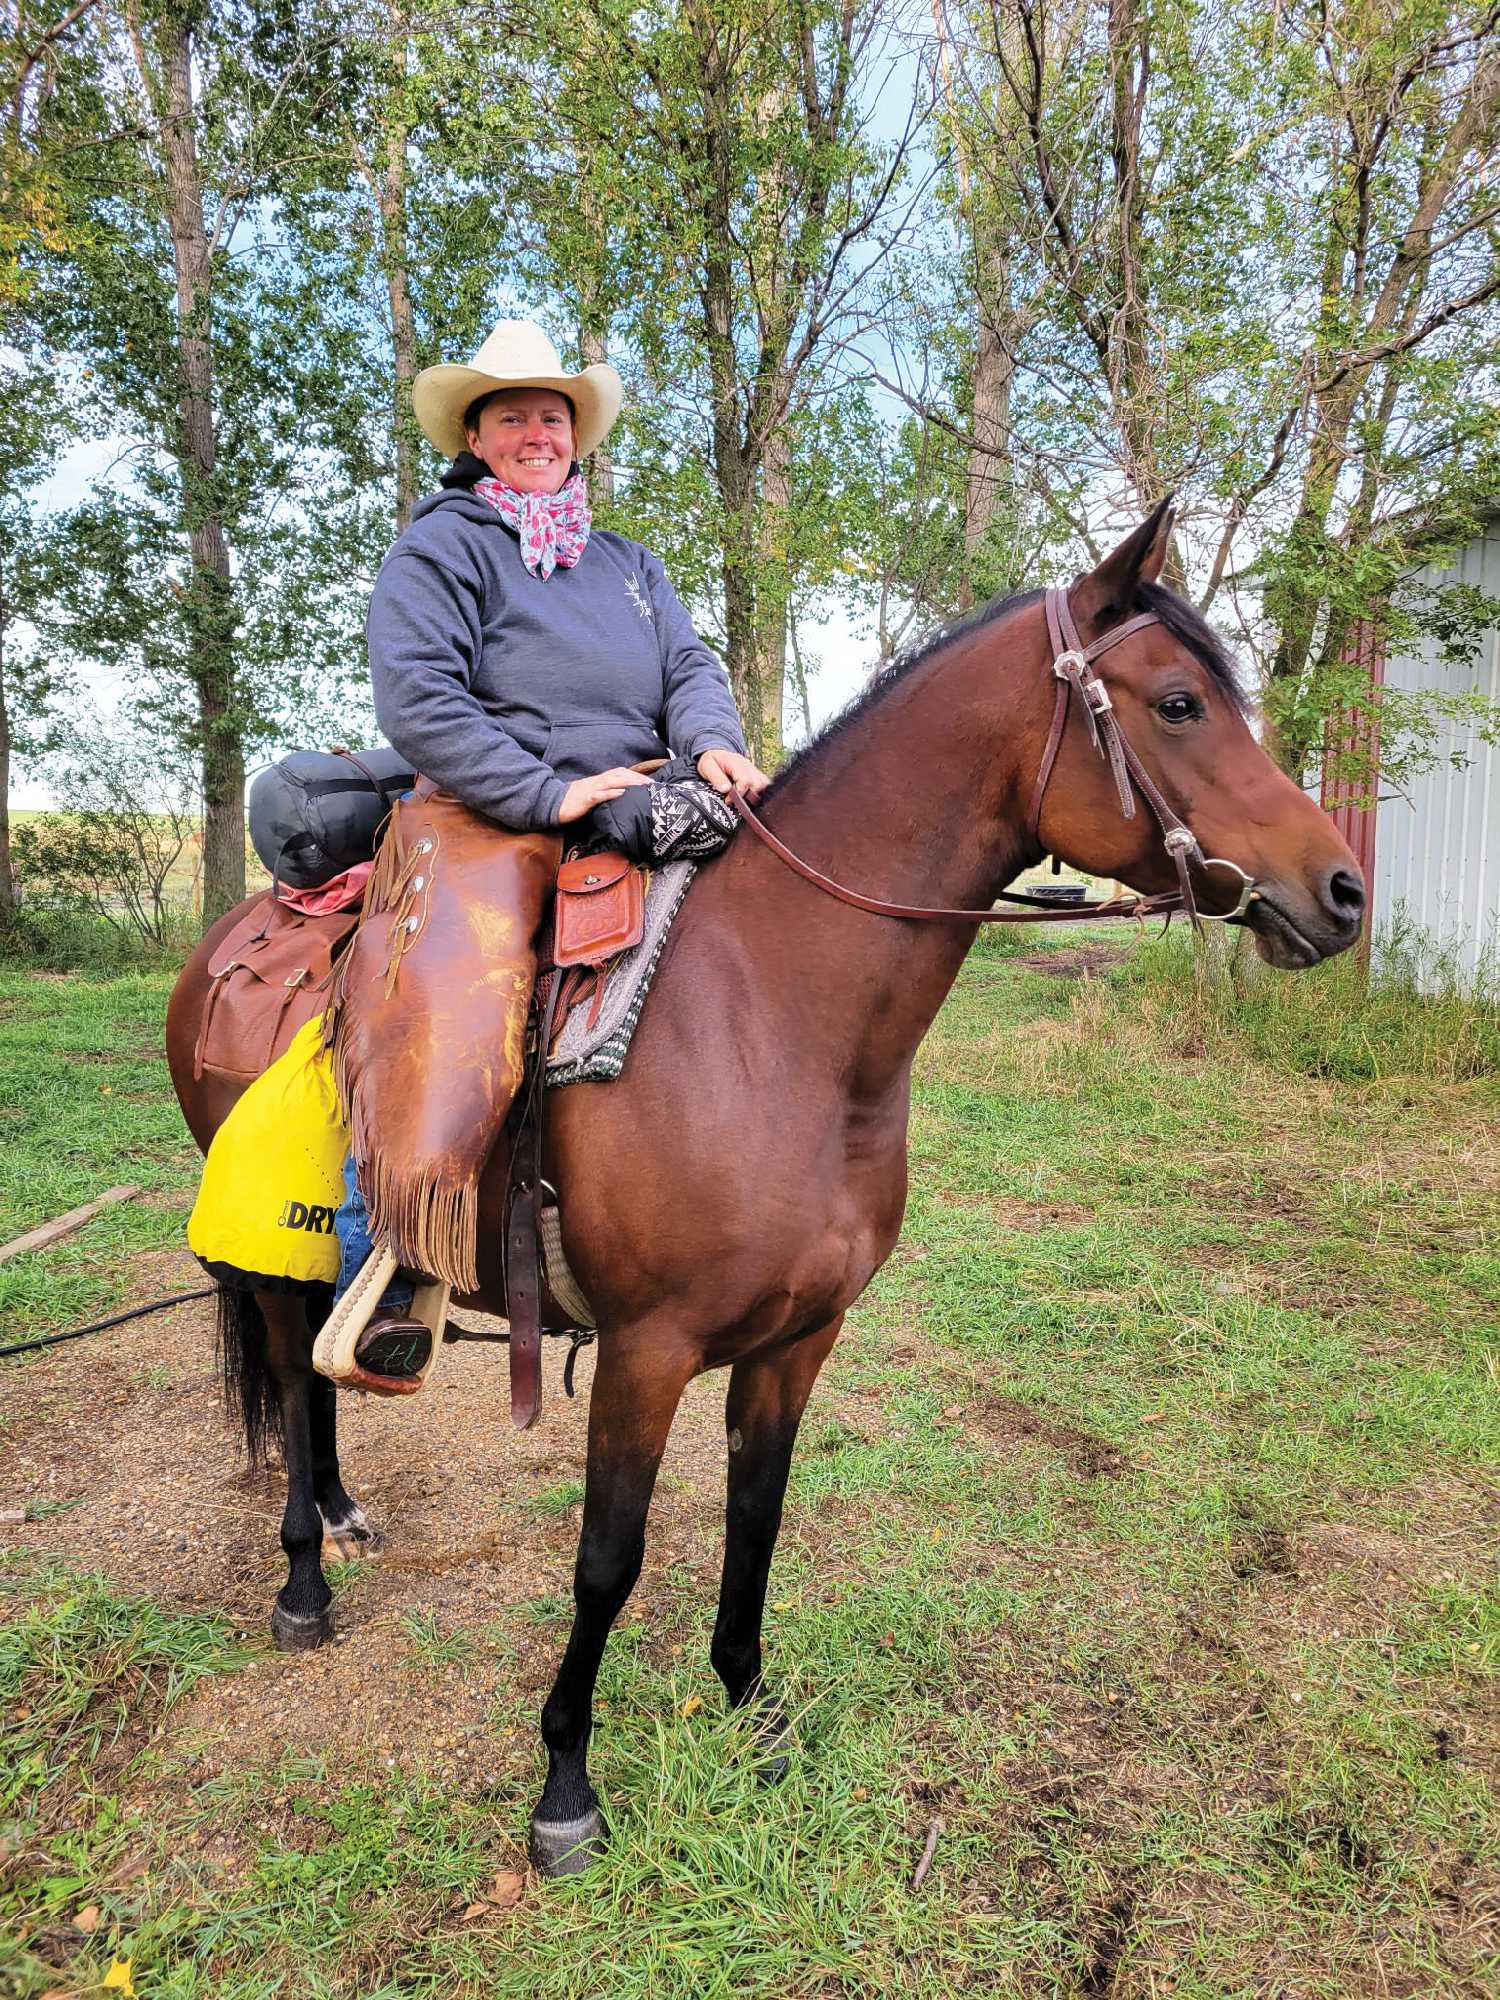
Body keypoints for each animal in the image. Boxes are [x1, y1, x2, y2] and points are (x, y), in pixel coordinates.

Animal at [165, 506, 1365, 1875]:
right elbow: (607, 1559)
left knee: (318, 1377)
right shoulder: (644, 1350)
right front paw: (566, 1783)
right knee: (290, 1379)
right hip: (269, 1263)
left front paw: (752, 1704)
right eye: (1177, 703)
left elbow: (760, 1515)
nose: (1343, 891)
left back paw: (346, 1506)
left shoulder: (799, 1337)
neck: (773, 1021)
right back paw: (303, 1580)